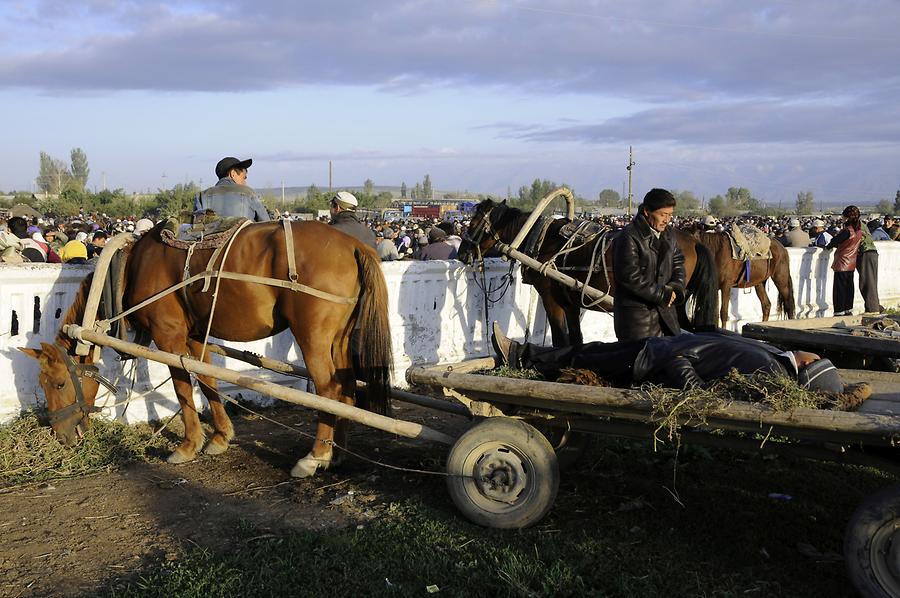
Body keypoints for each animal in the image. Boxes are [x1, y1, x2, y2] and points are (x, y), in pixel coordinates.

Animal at [19, 223, 392, 480]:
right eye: (42, 385)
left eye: (58, 383)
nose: (61, 436)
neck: (130, 268)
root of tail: (354, 245)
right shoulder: (198, 335)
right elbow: (209, 381)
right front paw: (220, 437)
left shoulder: (169, 337)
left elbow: (183, 387)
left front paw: (187, 445)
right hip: (339, 339)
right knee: (346, 389)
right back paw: (336, 453)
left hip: (313, 336)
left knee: (328, 390)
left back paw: (315, 457)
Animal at [458, 199, 716, 346]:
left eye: (474, 222)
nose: (462, 253)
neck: (541, 238)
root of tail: (694, 241)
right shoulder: (570, 300)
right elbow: (576, 338)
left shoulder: (551, 297)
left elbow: (560, 338)